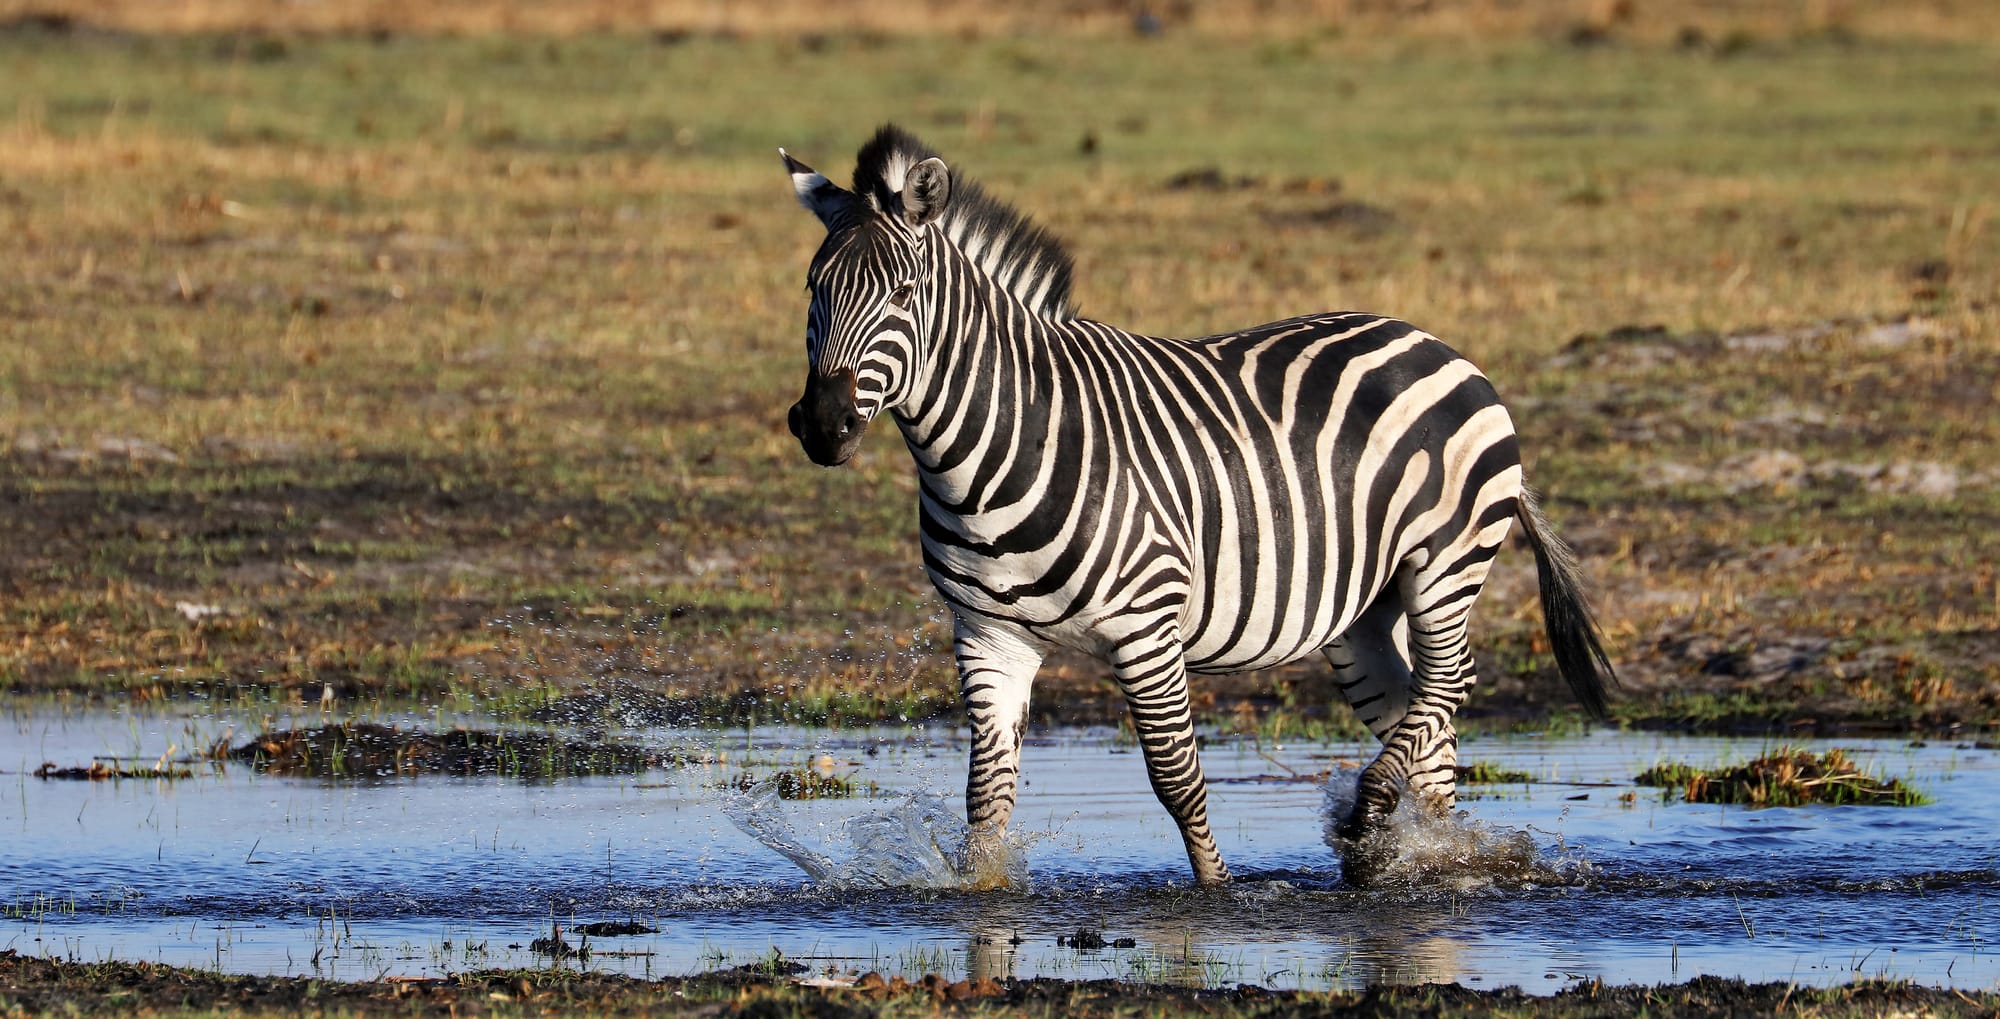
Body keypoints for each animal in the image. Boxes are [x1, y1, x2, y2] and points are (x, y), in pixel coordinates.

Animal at [772, 127, 1616, 887]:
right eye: (812, 288)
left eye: (903, 294)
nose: (822, 423)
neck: (990, 452)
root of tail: (1436, 343)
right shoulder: (989, 637)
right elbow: (987, 798)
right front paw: (981, 892)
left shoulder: (1145, 625)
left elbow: (1177, 777)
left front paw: (1217, 890)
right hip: (1368, 609)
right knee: (1424, 716)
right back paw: (1417, 850)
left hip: (1444, 560)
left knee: (1450, 680)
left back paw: (1374, 810)